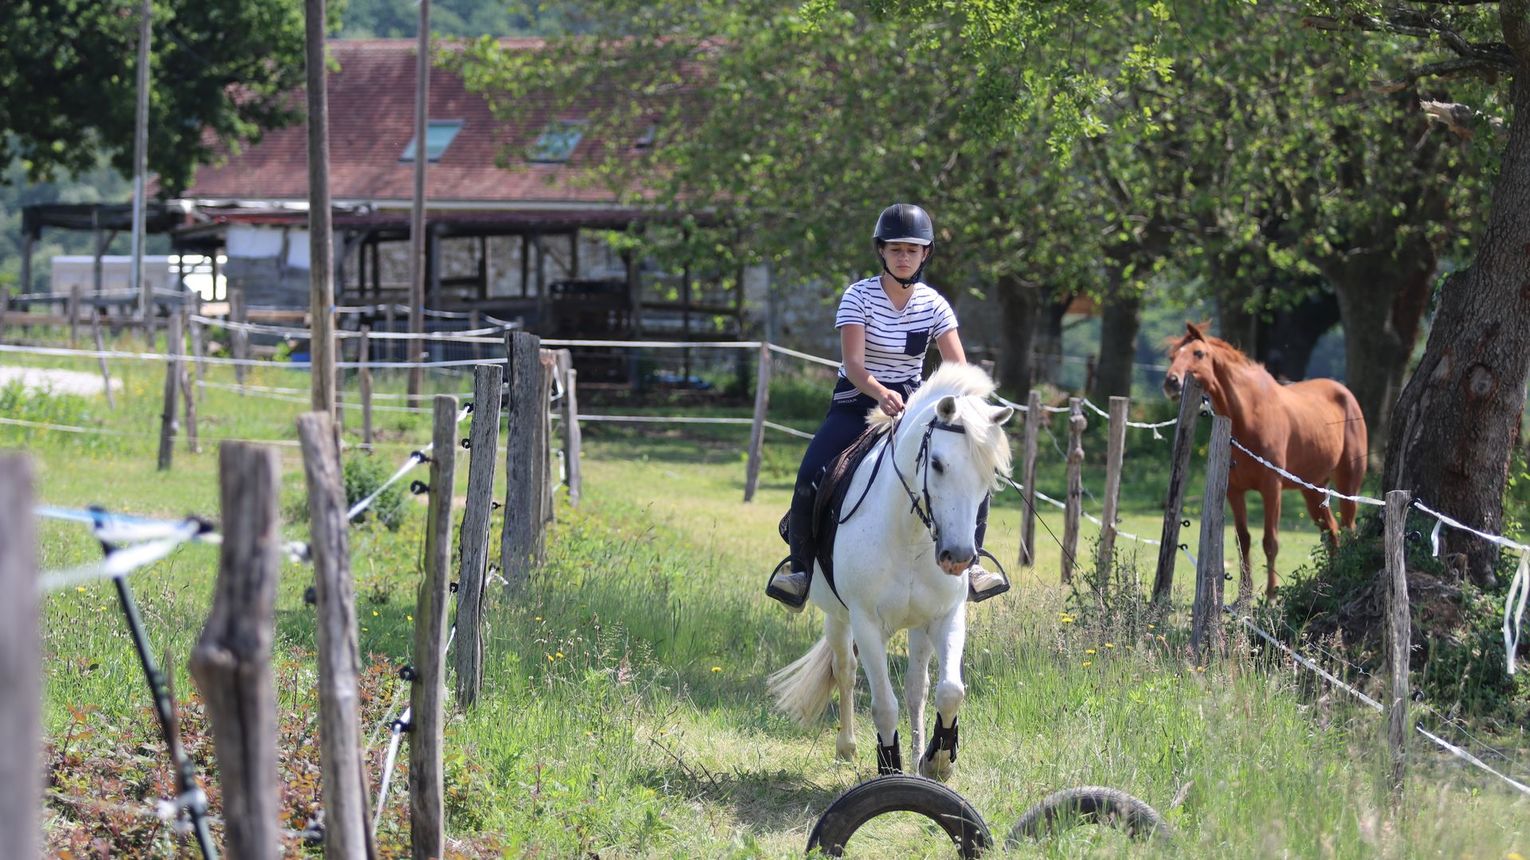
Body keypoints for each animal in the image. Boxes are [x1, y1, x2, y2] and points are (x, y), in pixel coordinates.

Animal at [765, 361, 1015, 777]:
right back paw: (847, 747)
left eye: (989, 474)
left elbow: (949, 691)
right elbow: (883, 704)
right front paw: (890, 767)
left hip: (918, 626)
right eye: (937, 464)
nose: (958, 557)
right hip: (837, 616)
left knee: (917, 688)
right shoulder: (866, 623)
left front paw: (936, 760)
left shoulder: (945, 616)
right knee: (845, 669)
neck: (911, 534)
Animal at [1162, 322, 1370, 602]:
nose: (1171, 382)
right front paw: (1244, 595)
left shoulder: (1272, 489)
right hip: (1312, 490)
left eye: (1199, 353)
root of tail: (1346, 394)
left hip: (1348, 483)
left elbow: (1270, 541)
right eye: (1172, 356)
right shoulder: (1234, 491)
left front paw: (1271, 595)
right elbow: (1243, 539)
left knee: (1347, 527)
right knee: (1331, 530)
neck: (1248, 416)